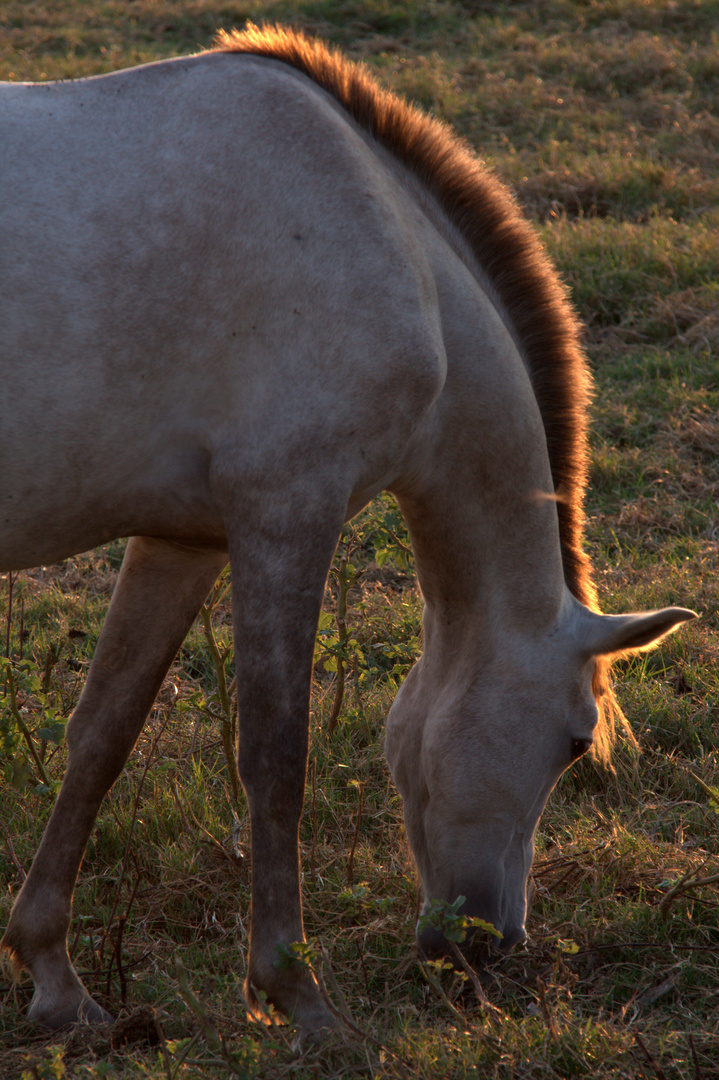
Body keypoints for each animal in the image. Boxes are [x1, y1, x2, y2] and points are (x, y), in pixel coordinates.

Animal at [1, 25, 695, 1036]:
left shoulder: (185, 540)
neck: (388, 241)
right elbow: (275, 756)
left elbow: (102, 734)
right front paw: (297, 995)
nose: (488, 945)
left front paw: (54, 977)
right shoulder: (287, 513)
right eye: (573, 743)